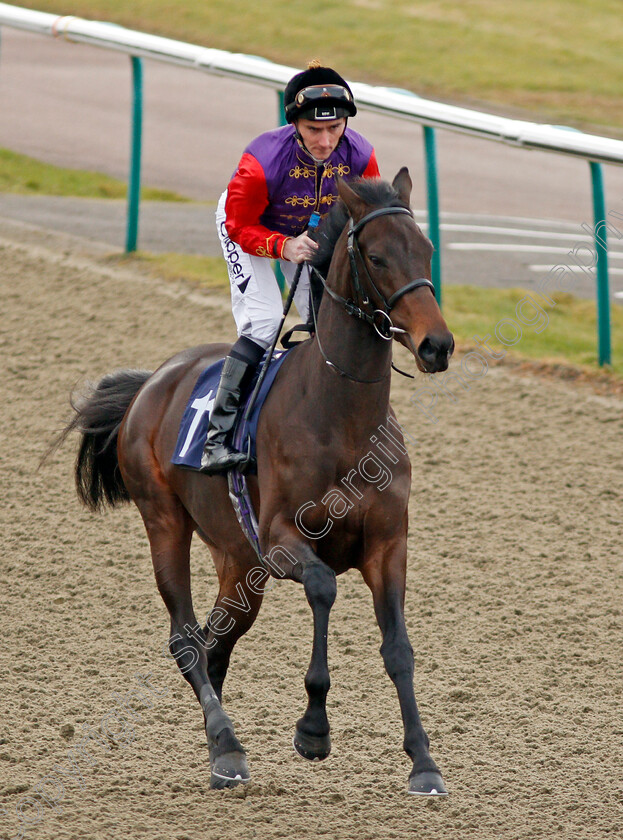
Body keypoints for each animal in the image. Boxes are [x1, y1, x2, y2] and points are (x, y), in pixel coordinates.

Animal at [62, 169, 454, 796]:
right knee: (185, 637)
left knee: (215, 642)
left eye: (427, 250)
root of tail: (151, 383)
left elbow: (398, 647)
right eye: (376, 256)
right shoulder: (279, 540)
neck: (343, 419)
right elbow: (323, 587)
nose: (436, 345)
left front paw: (423, 760)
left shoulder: (388, 545)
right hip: (166, 521)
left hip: (238, 562)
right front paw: (313, 728)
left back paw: (215, 737)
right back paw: (226, 747)